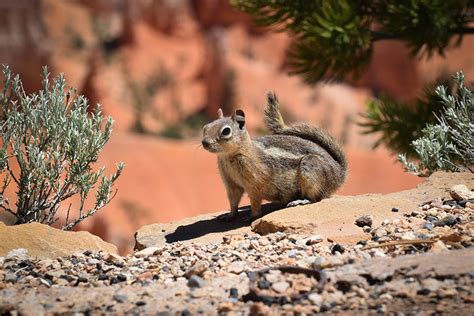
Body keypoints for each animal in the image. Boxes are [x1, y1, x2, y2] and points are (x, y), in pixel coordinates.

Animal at [202, 91, 346, 220]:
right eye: (205, 127)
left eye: (226, 131)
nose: (204, 142)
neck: (229, 156)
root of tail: (339, 173)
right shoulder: (230, 183)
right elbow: (233, 201)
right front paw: (229, 216)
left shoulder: (254, 183)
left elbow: (255, 201)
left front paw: (252, 216)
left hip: (311, 168)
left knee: (317, 198)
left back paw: (300, 201)